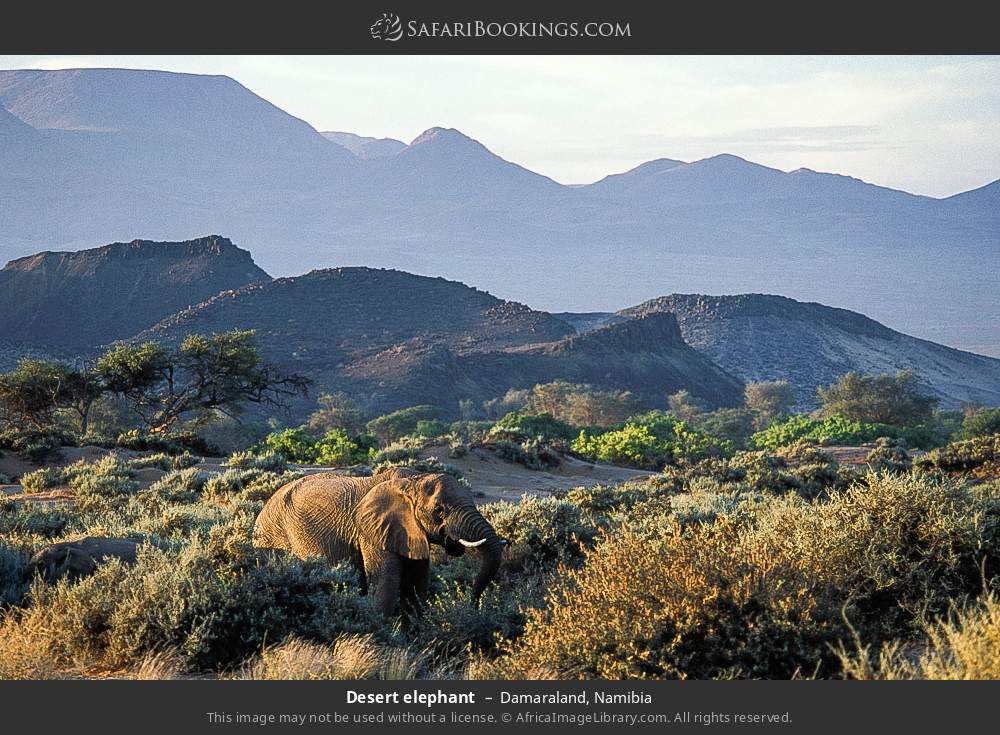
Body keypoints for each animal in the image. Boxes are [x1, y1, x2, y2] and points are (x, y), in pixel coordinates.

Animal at [252, 467, 503, 618]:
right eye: (439, 511)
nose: (473, 606)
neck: (412, 481)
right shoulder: (371, 533)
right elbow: (386, 587)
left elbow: (416, 588)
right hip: (272, 535)